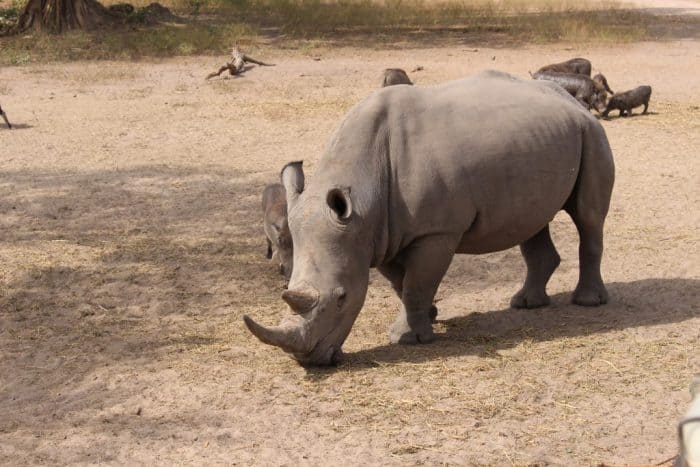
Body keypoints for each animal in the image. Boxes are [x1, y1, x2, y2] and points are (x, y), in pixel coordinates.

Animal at [244, 71, 615, 366]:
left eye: (341, 298)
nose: (308, 360)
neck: (362, 198)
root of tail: (574, 102)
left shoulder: (436, 232)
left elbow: (417, 283)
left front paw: (408, 339)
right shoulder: (379, 234)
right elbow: (401, 282)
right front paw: (430, 317)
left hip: (592, 134)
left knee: (588, 218)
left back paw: (587, 302)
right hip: (543, 140)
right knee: (532, 221)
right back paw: (525, 305)